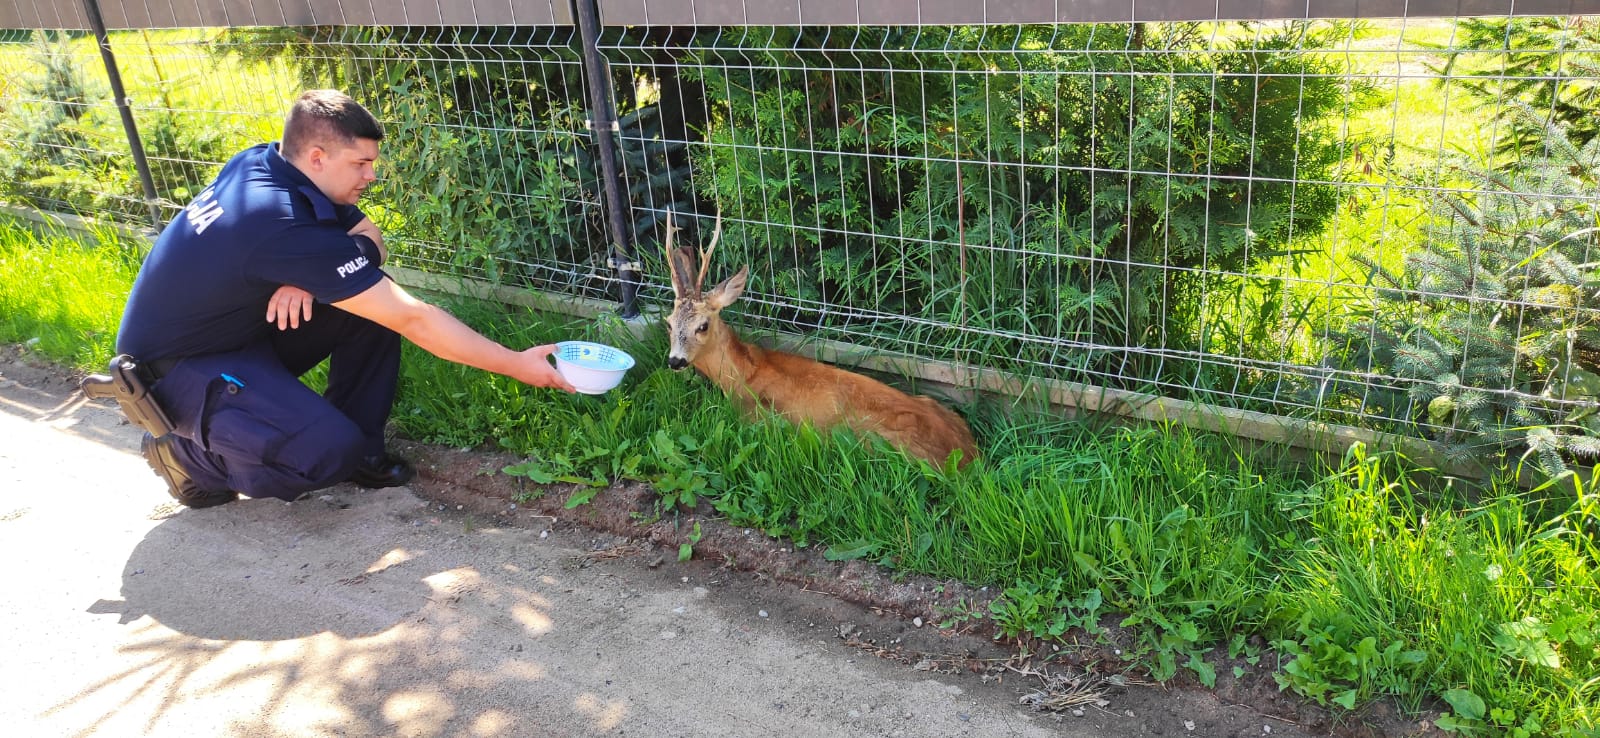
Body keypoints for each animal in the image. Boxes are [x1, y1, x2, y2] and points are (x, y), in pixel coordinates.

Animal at [659, 211, 972, 467]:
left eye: (702, 326)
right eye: (669, 323)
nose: (675, 361)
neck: (744, 373)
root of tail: (968, 458)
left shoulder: (757, 417)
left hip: (872, 441)